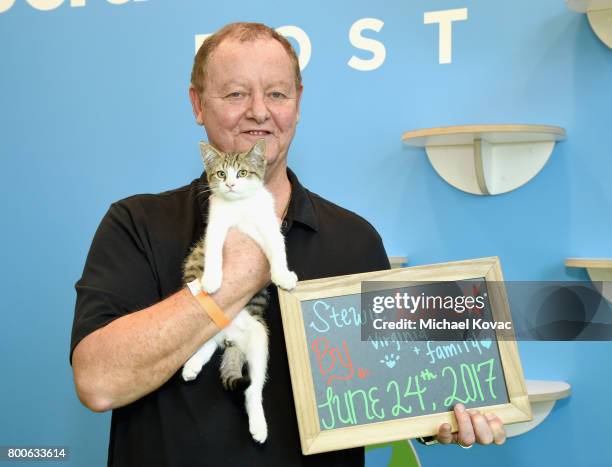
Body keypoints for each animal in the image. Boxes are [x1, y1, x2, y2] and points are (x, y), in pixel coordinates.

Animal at [180, 137, 298, 444]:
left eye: (242, 173)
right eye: (221, 173)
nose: (231, 184)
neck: (240, 207)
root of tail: (230, 336)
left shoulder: (268, 224)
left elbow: (276, 246)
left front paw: (282, 274)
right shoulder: (216, 227)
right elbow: (214, 251)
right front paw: (212, 278)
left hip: (259, 339)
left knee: (252, 388)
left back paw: (258, 425)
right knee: (207, 340)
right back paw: (192, 365)